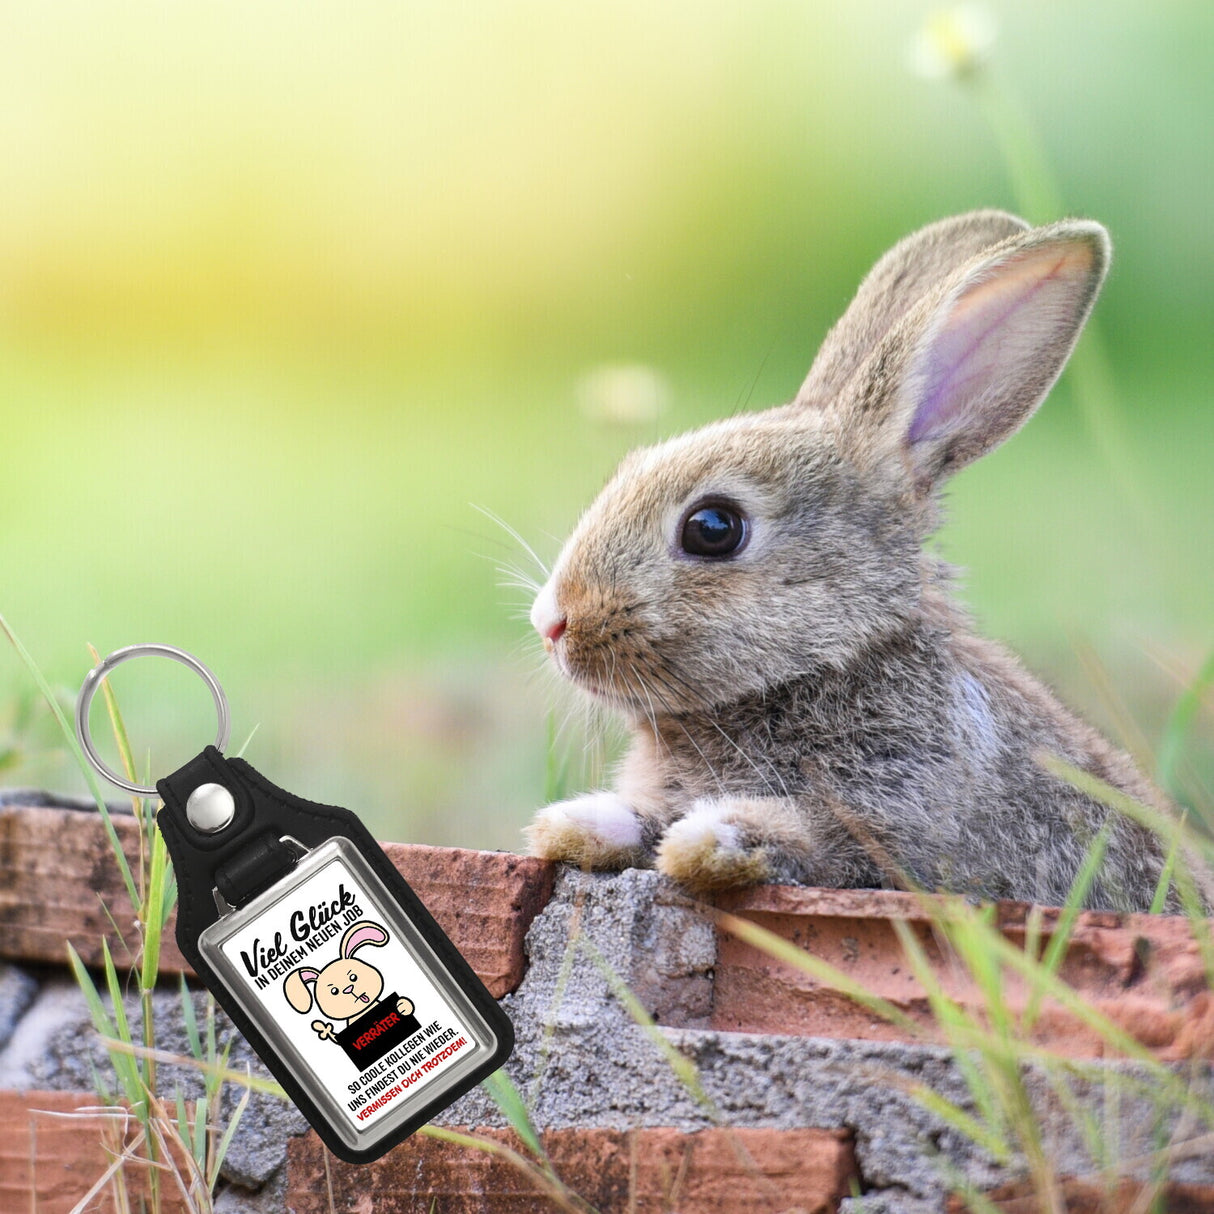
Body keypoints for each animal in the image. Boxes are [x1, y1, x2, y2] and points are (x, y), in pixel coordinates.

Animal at [284, 920, 415, 1042]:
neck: (365, 1012)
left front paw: (402, 1005)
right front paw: (326, 1030)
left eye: (353, 977)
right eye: (334, 991)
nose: (348, 989)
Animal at [523, 209, 1179, 913]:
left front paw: (711, 839)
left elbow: (815, 840)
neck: (827, 664)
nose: (551, 622)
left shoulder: (899, 827)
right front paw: (576, 823)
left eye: (713, 528)